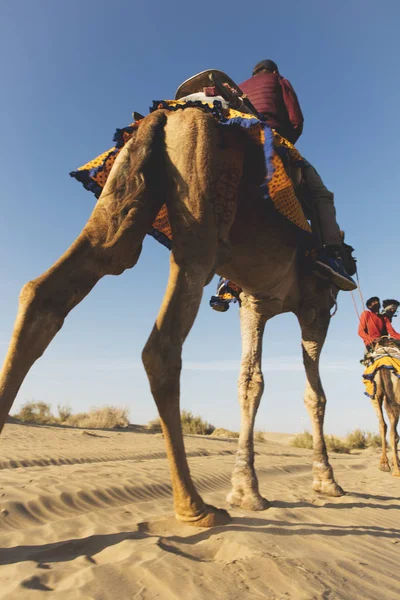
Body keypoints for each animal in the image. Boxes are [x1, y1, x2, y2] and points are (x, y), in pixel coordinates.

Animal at [0, 105, 344, 528]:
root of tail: (166, 116)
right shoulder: (315, 306)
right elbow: (315, 395)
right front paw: (327, 482)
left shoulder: (255, 302)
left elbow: (251, 382)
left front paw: (246, 490)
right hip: (200, 221)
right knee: (161, 344)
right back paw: (194, 507)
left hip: (128, 196)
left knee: (54, 288)